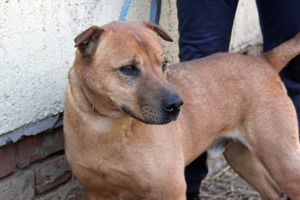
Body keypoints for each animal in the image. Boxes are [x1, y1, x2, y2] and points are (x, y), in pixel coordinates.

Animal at [64, 21, 300, 199]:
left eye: (164, 64)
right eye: (128, 69)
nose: (176, 105)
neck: (106, 124)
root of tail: (263, 60)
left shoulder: (170, 191)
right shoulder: (97, 192)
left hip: (282, 160)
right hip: (239, 155)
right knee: (271, 190)